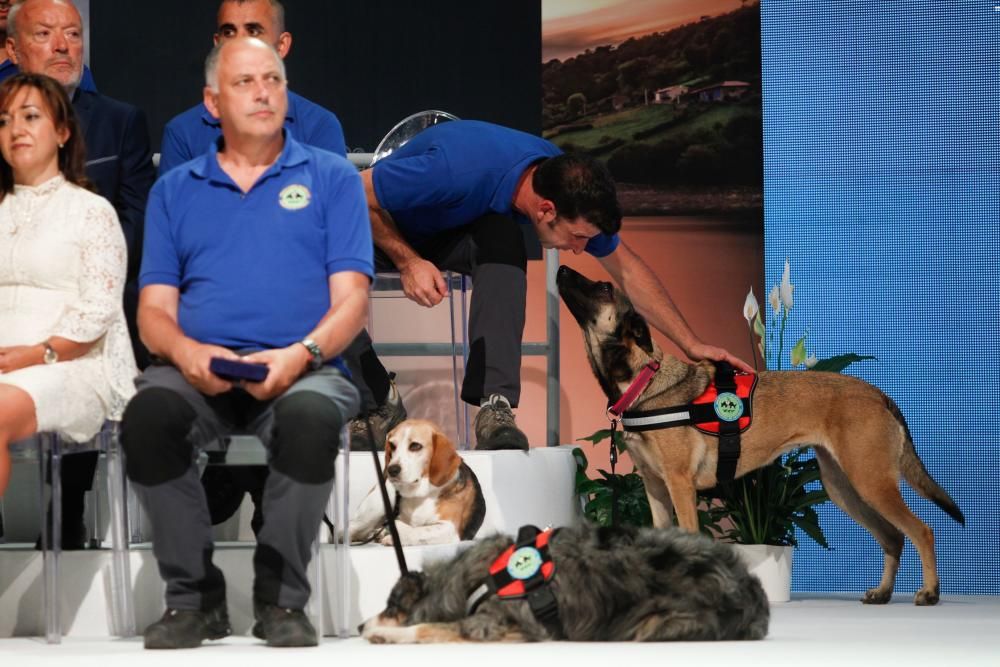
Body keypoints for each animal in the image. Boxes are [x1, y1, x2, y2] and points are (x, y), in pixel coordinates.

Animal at [350, 420, 486, 544]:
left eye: (415, 446)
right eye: (392, 445)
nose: (391, 470)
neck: (420, 494)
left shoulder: (450, 529)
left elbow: (418, 531)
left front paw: (393, 534)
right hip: (373, 510)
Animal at [364, 524, 768, 644]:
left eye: (390, 607)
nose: (359, 623)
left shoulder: (498, 626)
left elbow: (428, 628)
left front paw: (383, 634)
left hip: (652, 623)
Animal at [560, 264, 964, 604]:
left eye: (604, 286)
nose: (562, 267)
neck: (644, 381)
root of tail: (877, 393)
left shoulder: (679, 485)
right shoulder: (655, 488)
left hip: (870, 482)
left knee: (922, 530)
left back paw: (930, 592)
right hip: (845, 488)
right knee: (894, 537)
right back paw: (882, 593)